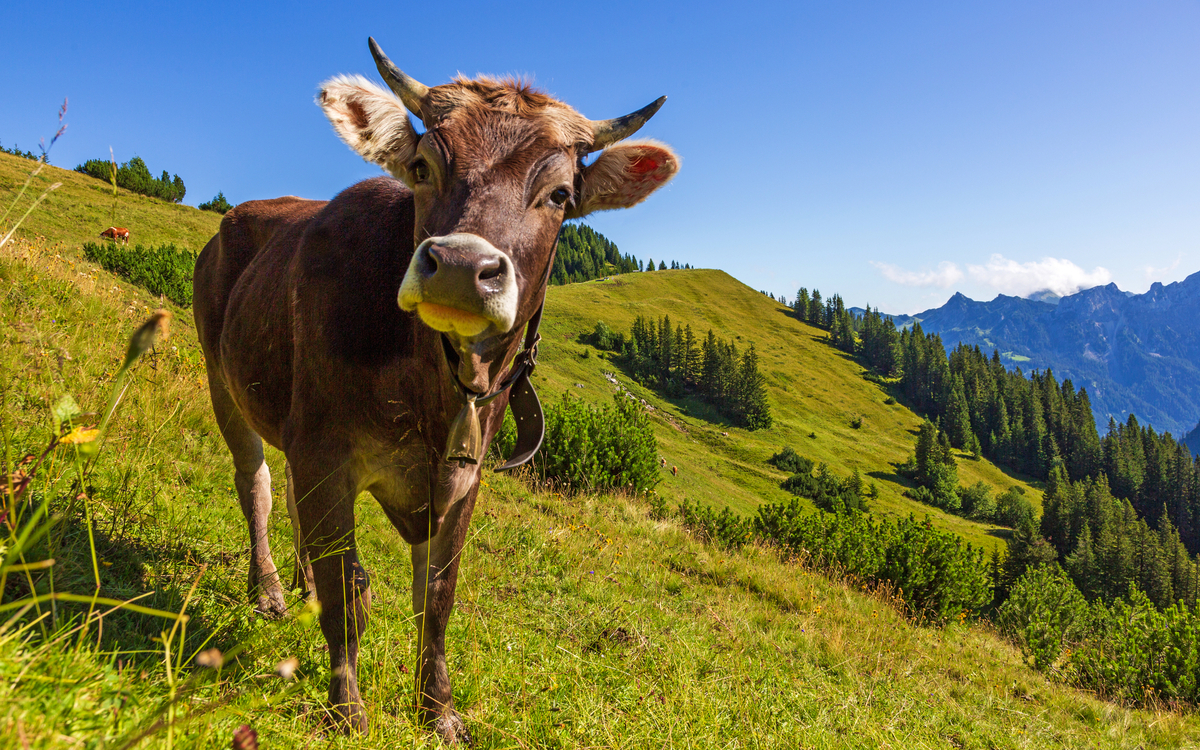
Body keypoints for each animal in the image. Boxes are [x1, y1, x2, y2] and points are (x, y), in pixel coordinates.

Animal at [193, 38, 678, 743]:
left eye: (560, 193)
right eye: (423, 167)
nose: (459, 268)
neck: (434, 384)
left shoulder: (461, 476)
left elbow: (438, 599)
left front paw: (439, 711)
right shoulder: (326, 450)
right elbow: (346, 593)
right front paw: (347, 709)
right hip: (222, 380)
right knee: (255, 484)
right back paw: (272, 592)